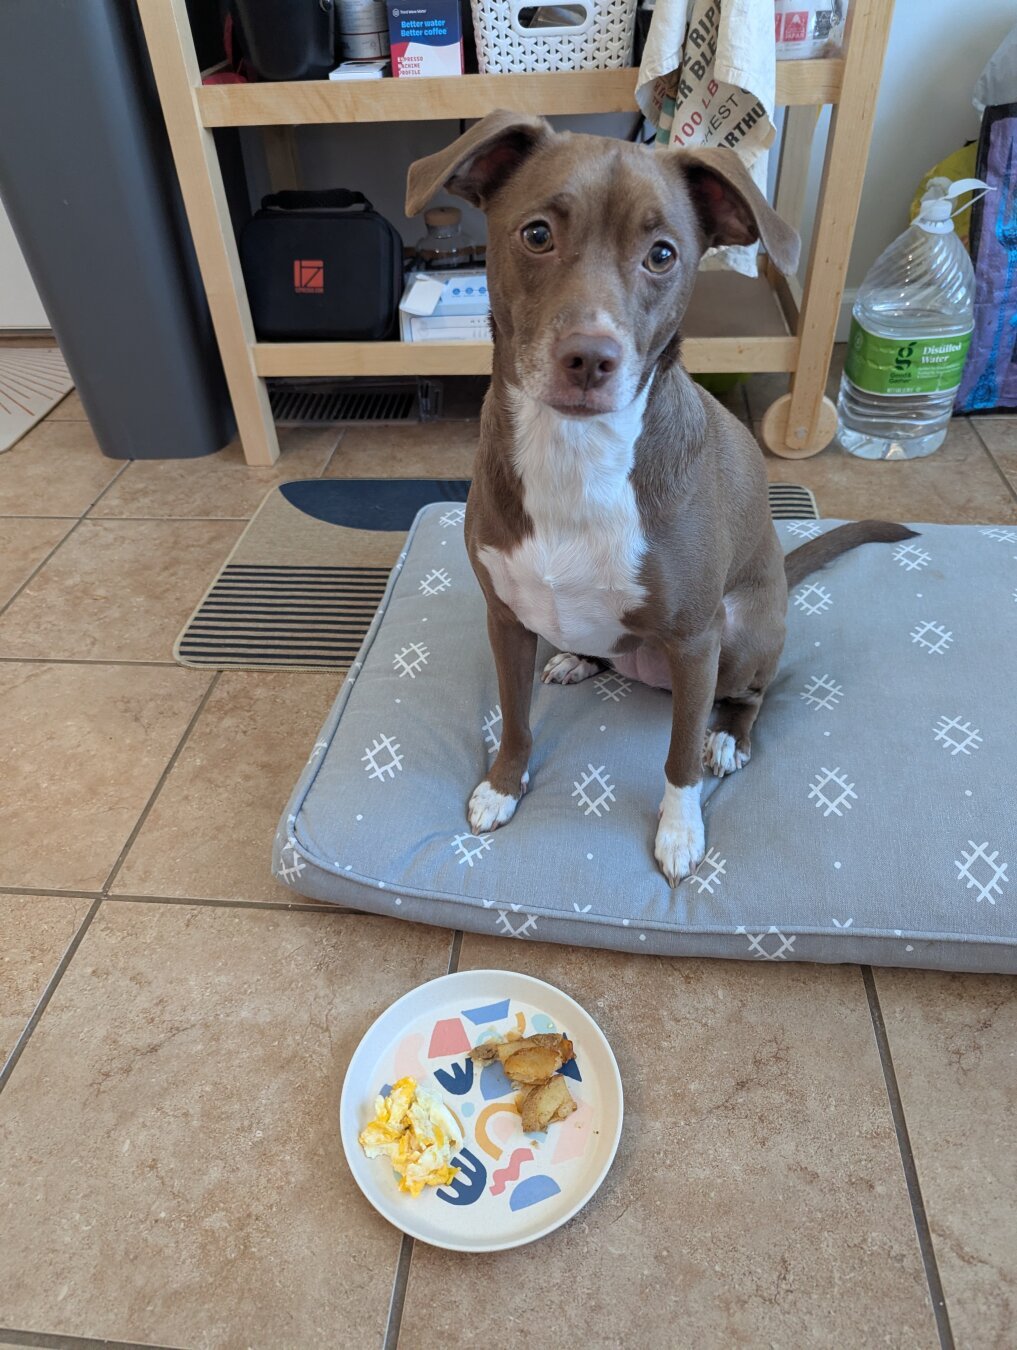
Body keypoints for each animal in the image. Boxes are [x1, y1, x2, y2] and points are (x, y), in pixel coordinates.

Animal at [405, 113, 913, 885]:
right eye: (536, 234)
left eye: (662, 255)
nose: (590, 358)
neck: (576, 450)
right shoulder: (505, 618)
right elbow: (514, 718)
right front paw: (502, 785)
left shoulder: (695, 641)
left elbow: (677, 758)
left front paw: (679, 830)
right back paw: (578, 658)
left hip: (741, 635)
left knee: (750, 695)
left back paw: (728, 738)